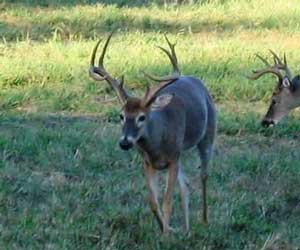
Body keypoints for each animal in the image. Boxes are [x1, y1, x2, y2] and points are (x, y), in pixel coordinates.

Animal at [88, 31, 217, 234]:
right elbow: (153, 202)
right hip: (181, 153)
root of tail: (197, 81)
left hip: (208, 133)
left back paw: (204, 220)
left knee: (204, 175)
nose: (125, 142)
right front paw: (165, 229)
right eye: (121, 116)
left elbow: (167, 202)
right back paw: (185, 229)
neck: (157, 145)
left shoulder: (172, 159)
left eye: (142, 117)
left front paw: (166, 235)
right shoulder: (148, 162)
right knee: (185, 185)